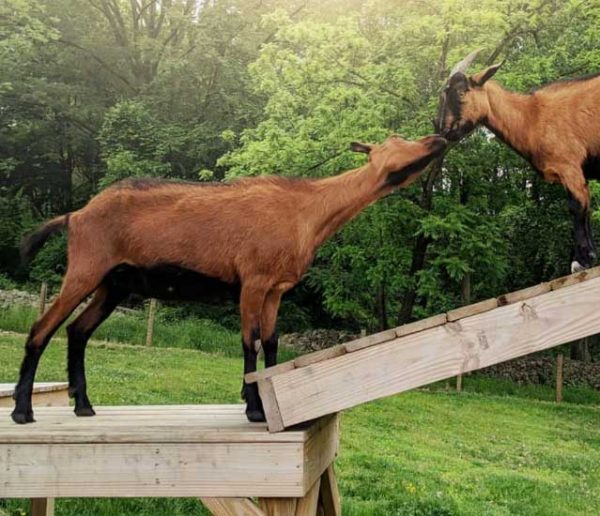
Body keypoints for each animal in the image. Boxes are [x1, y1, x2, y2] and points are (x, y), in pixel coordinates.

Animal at [11, 132, 448, 424]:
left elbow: (271, 343)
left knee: (77, 330)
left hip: (113, 283)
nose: (438, 137)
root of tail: (75, 216)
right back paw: (22, 411)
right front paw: (253, 408)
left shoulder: (276, 290)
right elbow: (249, 341)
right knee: (41, 329)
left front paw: (262, 401)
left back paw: (83, 405)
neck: (306, 211)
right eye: (396, 139)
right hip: (86, 268)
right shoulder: (252, 280)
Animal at [436, 50, 600, 272]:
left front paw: (581, 261)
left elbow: (577, 207)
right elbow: (587, 208)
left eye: (461, 92)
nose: (442, 129)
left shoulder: (569, 166)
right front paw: (589, 257)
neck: (532, 117)